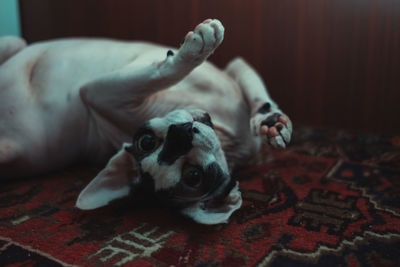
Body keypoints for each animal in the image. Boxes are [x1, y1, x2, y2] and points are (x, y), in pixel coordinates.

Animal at [0, 19, 294, 224]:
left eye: (147, 141)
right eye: (192, 177)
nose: (180, 134)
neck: (229, 138)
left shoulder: (236, 67)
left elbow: (255, 93)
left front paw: (272, 122)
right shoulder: (97, 91)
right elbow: (160, 73)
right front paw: (194, 48)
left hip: (14, 41)